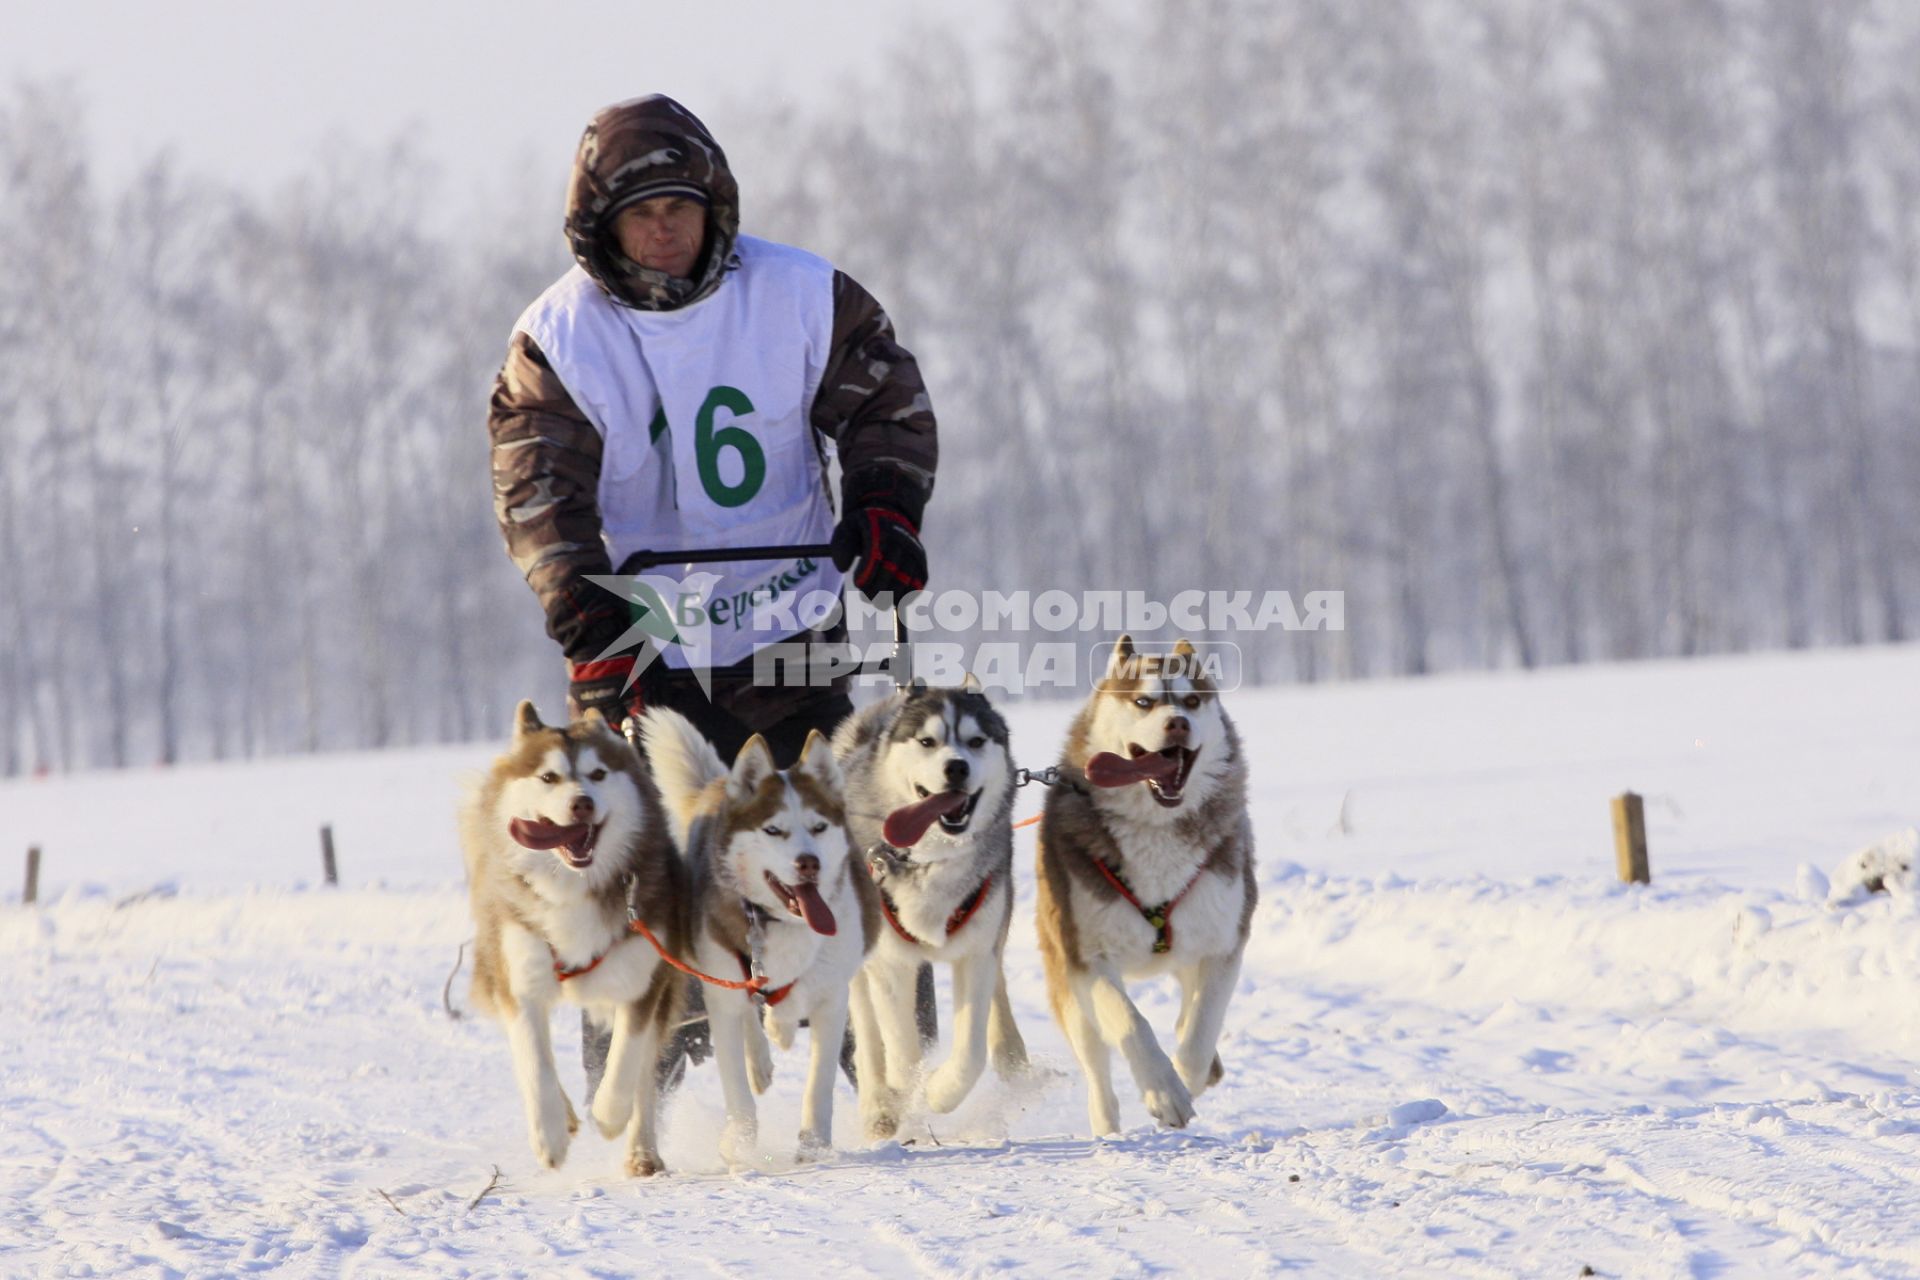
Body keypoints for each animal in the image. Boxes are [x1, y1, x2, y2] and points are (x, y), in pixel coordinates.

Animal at [464, 706, 691, 1174]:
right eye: (548, 777)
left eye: (598, 774)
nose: (581, 802)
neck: (572, 886)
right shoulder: (520, 979)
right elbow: (534, 1063)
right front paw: (550, 1135)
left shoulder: (644, 980)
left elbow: (625, 1061)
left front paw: (607, 1115)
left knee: (644, 1076)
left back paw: (641, 1151)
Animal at [648, 706, 879, 1166]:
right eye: (773, 830)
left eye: (819, 827)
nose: (809, 863)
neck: (783, 923)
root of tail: (722, 785)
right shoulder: (721, 992)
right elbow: (735, 1082)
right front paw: (740, 1142)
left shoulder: (832, 995)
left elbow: (819, 1081)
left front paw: (813, 1143)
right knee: (748, 1014)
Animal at [833, 687, 1029, 1136]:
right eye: (927, 741)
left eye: (976, 741)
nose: (956, 766)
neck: (930, 858)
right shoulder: (890, 964)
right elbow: (901, 1052)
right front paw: (910, 1094)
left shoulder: (976, 953)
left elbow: (970, 1053)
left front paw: (939, 1090)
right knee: (867, 1035)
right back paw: (879, 1107)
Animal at [1036, 637, 1259, 1136]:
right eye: (1144, 702)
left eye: (1192, 702)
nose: (1177, 722)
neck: (1156, 828)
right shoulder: (1087, 957)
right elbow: (1131, 1022)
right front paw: (1164, 1091)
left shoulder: (1222, 944)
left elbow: (1199, 1031)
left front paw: (1187, 1078)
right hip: (1069, 991)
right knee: (1096, 1066)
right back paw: (1106, 1124)